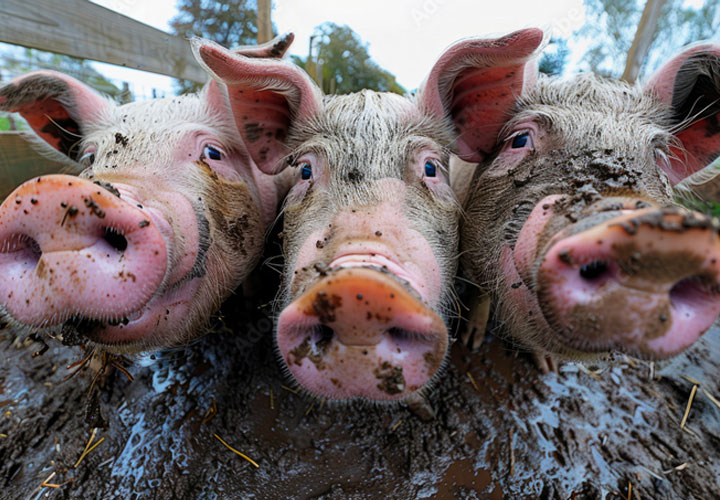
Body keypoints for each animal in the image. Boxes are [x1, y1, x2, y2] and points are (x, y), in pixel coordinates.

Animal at [453, 36, 720, 367]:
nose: (648, 235)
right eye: (519, 140)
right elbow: (480, 293)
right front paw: (472, 342)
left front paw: (548, 366)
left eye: (658, 157)